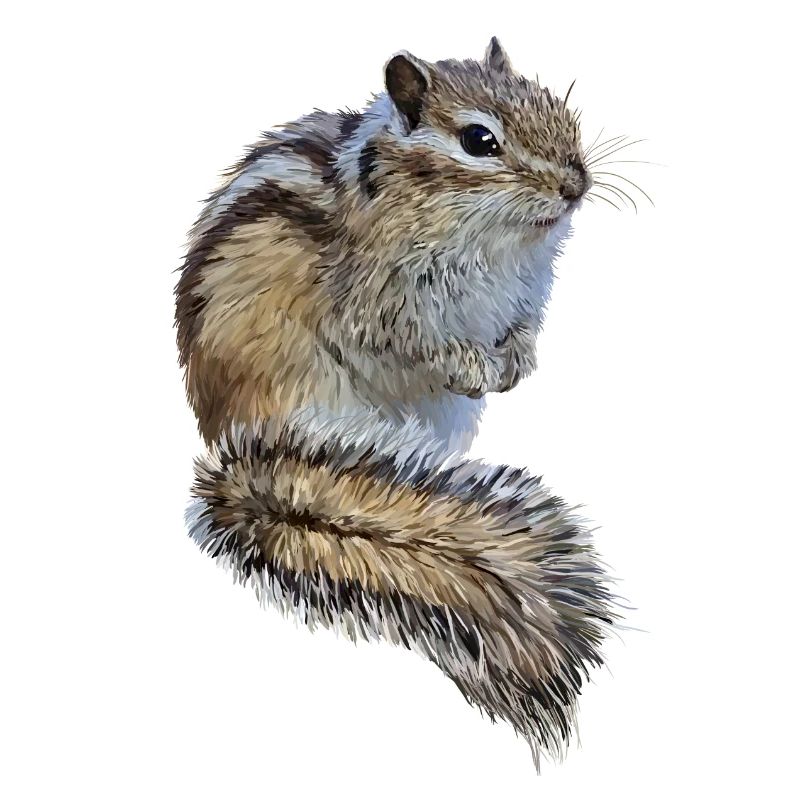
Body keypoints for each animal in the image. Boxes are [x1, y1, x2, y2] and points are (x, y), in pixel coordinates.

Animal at [176, 37, 615, 765]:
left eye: (558, 107)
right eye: (478, 140)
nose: (575, 187)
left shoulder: (524, 293)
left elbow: (521, 330)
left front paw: (517, 360)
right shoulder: (379, 302)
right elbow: (408, 341)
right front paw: (473, 365)